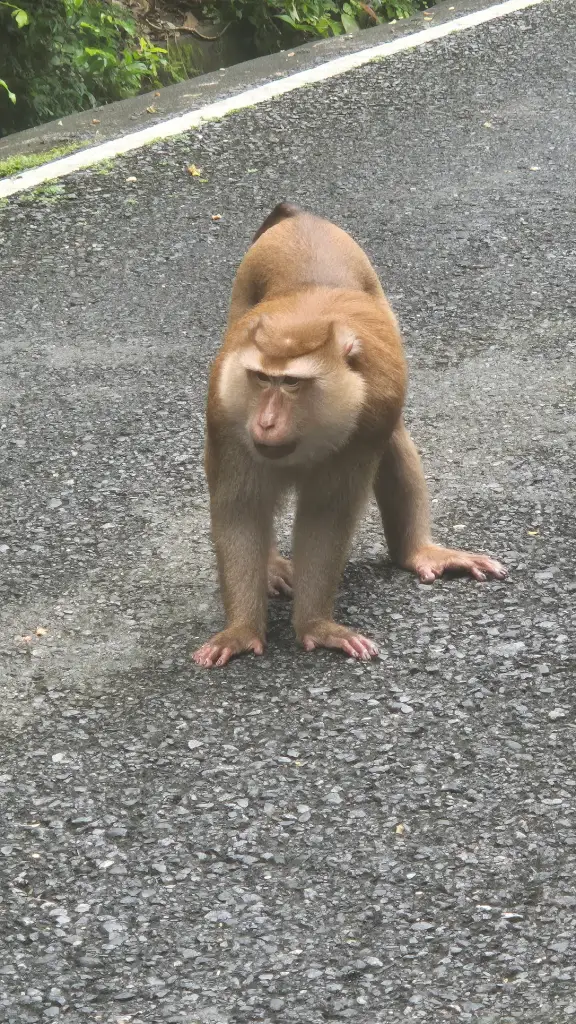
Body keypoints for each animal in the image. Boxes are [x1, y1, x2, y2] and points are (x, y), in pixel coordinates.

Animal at [193, 203, 506, 668]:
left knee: (394, 442)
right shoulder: (227, 413)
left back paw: (415, 552)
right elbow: (240, 508)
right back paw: (271, 568)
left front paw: (315, 626)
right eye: (261, 378)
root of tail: (300, 217)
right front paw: (242, 629)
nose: (264, 421)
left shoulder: (366, 419)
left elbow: (325, 515)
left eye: (291, 383)